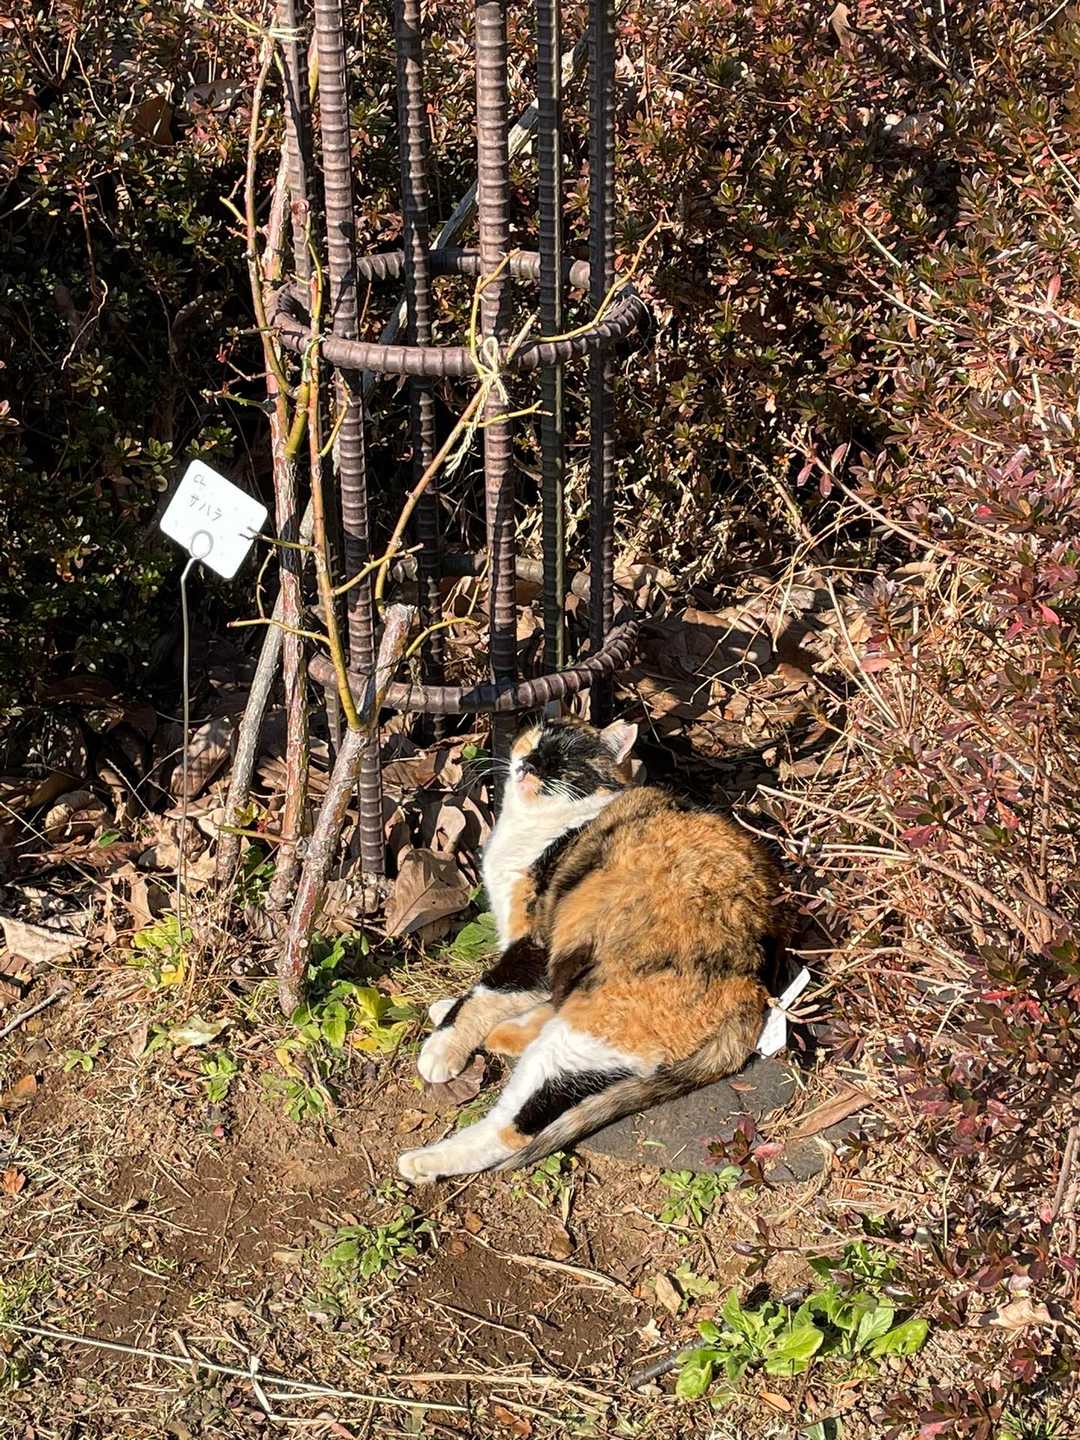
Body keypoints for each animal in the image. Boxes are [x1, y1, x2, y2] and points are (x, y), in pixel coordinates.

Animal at [397, 714, 783, 1184]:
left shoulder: (537, 942)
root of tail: (753, 986)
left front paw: (442, 1048)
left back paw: (424, 1161)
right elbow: (501, 994)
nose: (530, 763)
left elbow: (486, 993)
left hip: (586, 1031)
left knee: (513, 1127)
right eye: (535, 743)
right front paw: (453, 1013)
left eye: (562, 760)